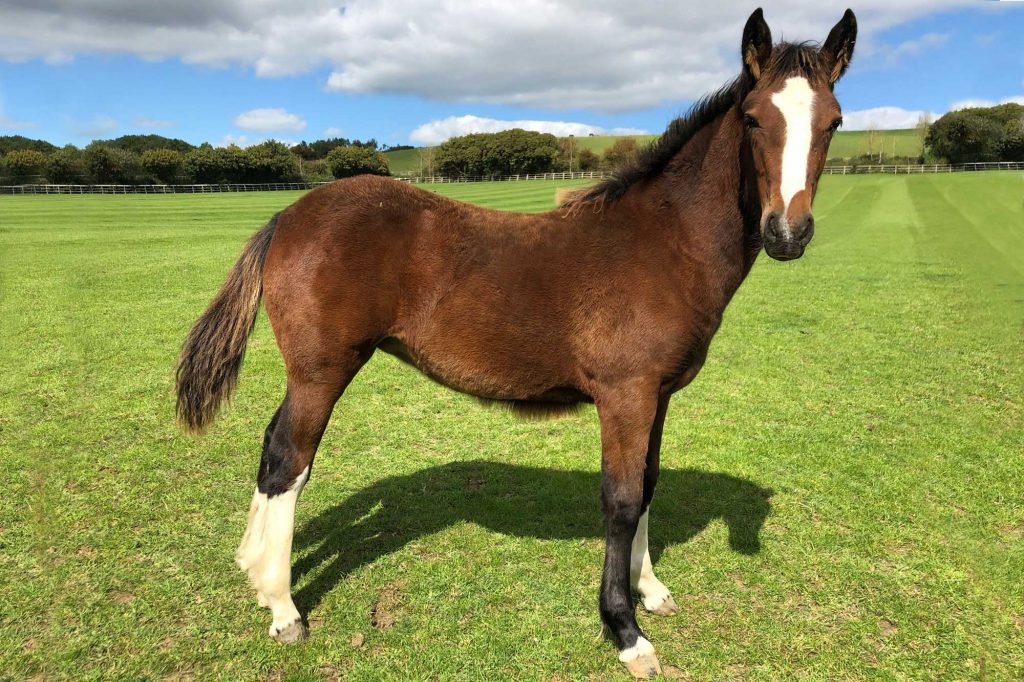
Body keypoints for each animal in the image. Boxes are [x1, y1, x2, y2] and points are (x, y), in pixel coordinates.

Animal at [176, 7, 856, 675]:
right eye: (753, 117)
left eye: (835, 121)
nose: (787, 232)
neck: (665, 244)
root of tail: (287, 216)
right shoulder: (625, 395)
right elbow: (621, 499)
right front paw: (624, 629)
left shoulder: (657, 395)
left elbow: (649, 484)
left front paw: (650, 590)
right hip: (322, 370)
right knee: (288, 461)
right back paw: (283, 609)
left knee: (271, 452)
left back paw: (253, 572)